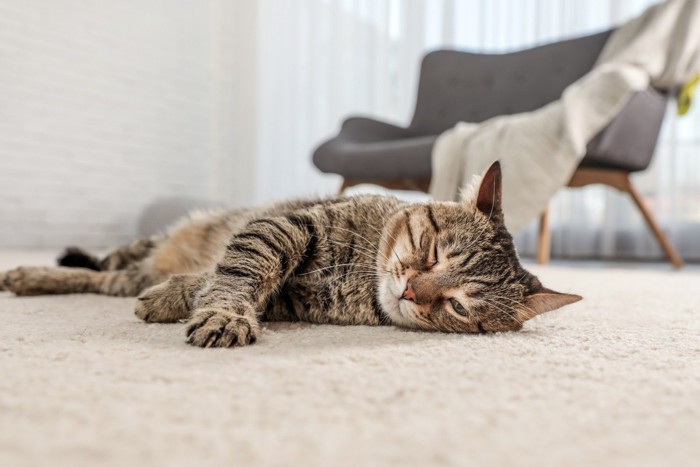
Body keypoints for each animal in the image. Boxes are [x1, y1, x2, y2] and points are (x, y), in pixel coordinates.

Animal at [0, 163, 580, 346]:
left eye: (459, 306)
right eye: (434, 252)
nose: (413, 291)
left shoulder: (291, 300)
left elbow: (218, 282)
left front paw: (173, 298)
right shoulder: (285, 226)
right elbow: (239, 271)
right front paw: (222, 312)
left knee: (107, 279)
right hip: (141, 249)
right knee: (100, 268)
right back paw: (28, 273)